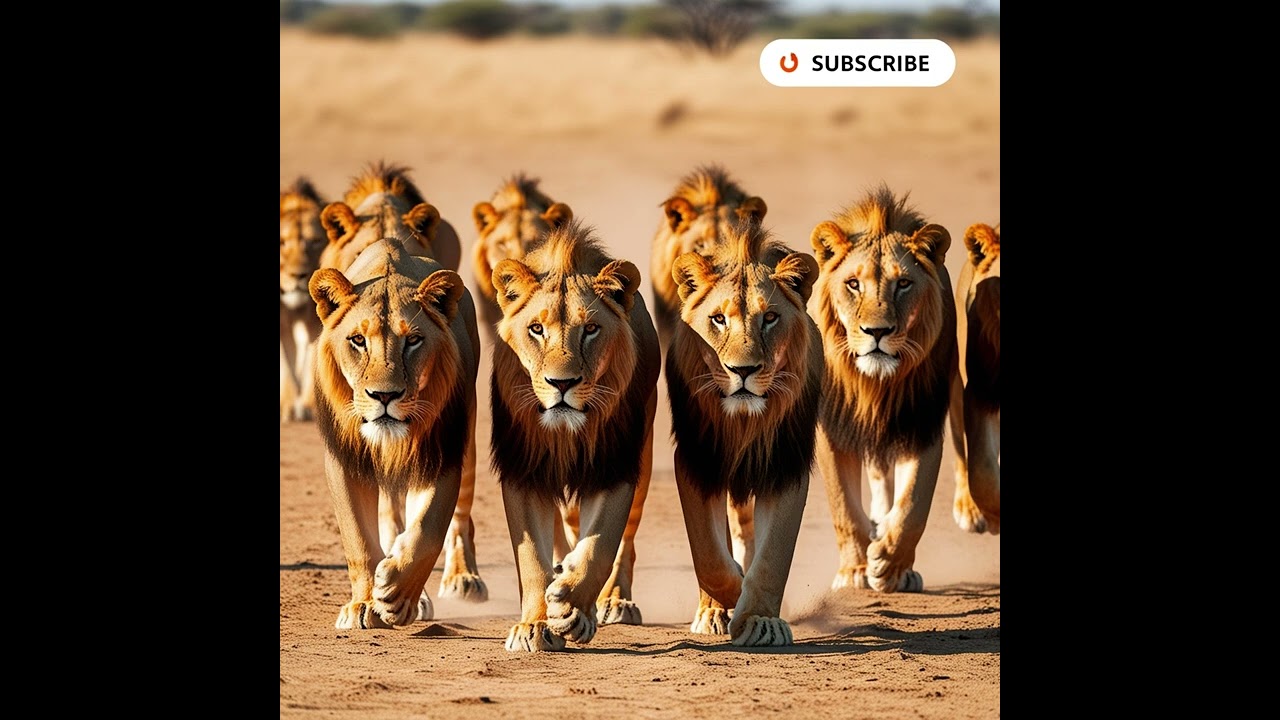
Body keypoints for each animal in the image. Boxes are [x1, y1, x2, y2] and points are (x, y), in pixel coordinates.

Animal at [488, 216, 661, 652]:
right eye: (536, 329)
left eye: (592, 330)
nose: (561, 383)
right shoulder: (523, 467)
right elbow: (531, 556)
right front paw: (534, 625)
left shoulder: (615, 465)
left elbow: (601, 545)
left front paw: (572, 609)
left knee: (624, 542)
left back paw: (614, 600)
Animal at [666, 219, 823, 647]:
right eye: (718, 319)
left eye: (769, 318)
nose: (744, 370)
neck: (744, 423)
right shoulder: (696, 462)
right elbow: (707, 553)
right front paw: (730, 598)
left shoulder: (786, 463)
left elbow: (772, 558)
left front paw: (760, 620)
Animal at [807, 184, 958, 593]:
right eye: (853, 283)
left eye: (903, 283)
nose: (877, 332)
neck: (875, 384)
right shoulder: (831, 426)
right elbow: (844, 505)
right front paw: (856, 569)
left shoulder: (922, 420)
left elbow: (913, 505)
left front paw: (891, 565)